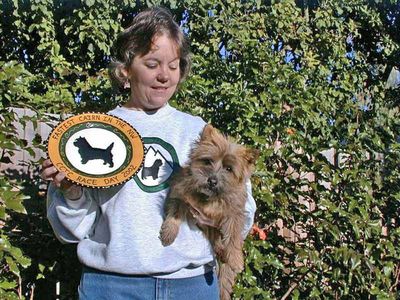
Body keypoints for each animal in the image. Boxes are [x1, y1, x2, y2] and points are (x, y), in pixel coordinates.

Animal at [159, 124, 260, 300]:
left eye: (228, 168)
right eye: (207, 161)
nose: (212, 180)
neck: (210, 198)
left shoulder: (235, 213)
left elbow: (233, 236)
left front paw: (235, 260)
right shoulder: (180, 193)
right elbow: (175, 212)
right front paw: (169, 233)